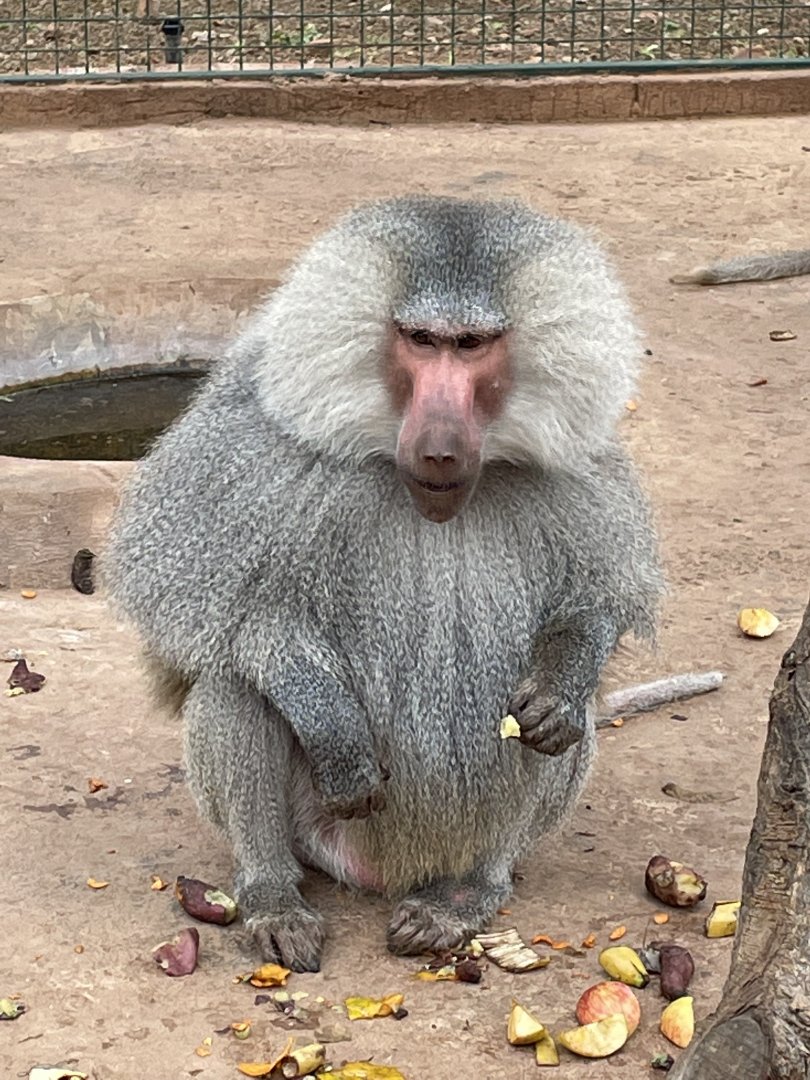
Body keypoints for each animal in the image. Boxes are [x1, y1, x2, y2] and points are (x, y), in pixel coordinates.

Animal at [104, 195, 663, 973]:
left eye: (472, 345)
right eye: (421, 341)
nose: (440, 447)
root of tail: (387, 872)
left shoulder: (585, 467)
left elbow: (594, 607)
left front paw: (564, 679)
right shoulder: (248, 443)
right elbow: (201, 613)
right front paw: (335, 732)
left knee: (551, 734)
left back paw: (462, 896)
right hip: (318, 834)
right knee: (235, 686)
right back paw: (273, 899)